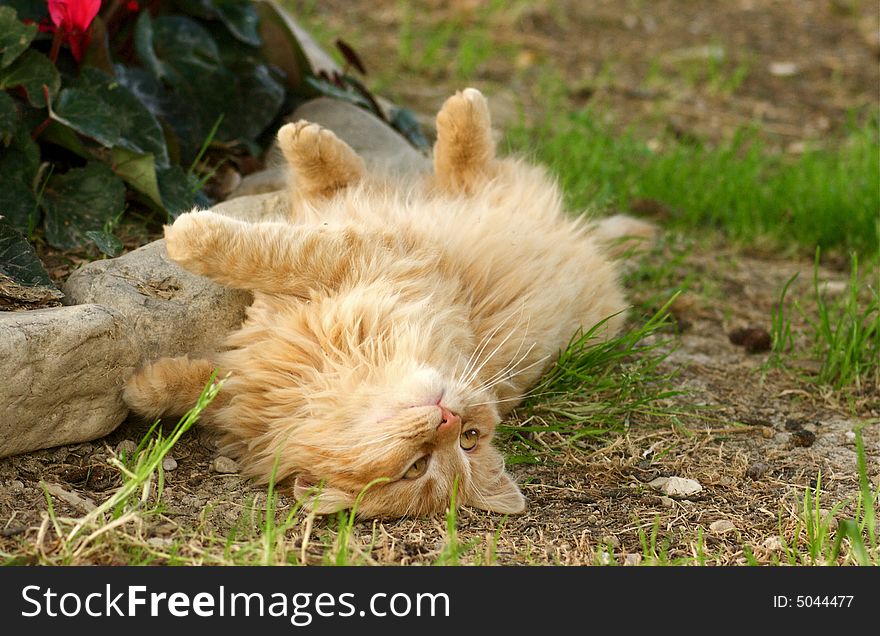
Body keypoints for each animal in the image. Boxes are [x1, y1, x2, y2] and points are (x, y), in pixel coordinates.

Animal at [124, 88, 648, 516]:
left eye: (425, 464)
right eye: (469, 439)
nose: (448, 418)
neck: (340, 371)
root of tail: (593, 250)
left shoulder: (362, 259)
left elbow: (247, 270)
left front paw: (188, 235)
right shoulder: (359, 261)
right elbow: (209, 376)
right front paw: (145, 388)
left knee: (459, 171)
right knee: (407, 175)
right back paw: (316, 137)